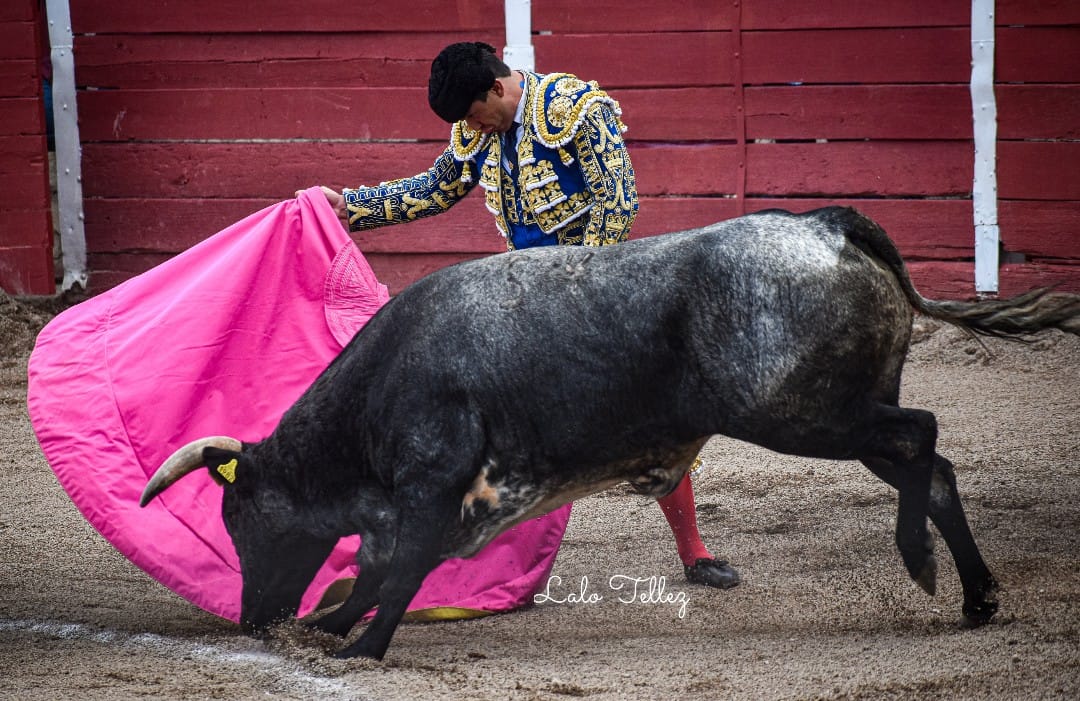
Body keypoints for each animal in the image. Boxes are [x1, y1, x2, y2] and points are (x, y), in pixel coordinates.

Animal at [141, 205, 1080, 661]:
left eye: (241, 518)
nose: (252, 621)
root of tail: (824, 224)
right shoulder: (441, 502)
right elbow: (374, 573)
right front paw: (331, 627)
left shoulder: (430, 485)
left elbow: (395, 572)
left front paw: (359, 648)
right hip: (842, 416)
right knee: (936, 463)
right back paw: (976, 595)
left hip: (807, 414)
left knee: (924, 435)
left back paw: (922, 564)